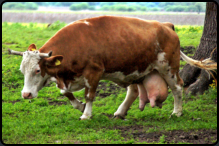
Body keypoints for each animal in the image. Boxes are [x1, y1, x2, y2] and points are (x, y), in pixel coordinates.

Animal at [8, 15, 216, 120]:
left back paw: (177, 112)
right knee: (133, 91)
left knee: (177, 87)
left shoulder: (94, 72)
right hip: (131, 69)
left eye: (37, 70)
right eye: (22, 71)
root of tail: (166, 25)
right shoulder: (64, 77)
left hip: (168, 67)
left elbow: (90, 95)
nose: (25, 94)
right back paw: (120, 112)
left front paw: (86, 114)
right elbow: (65, 93)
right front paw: (79, 106)